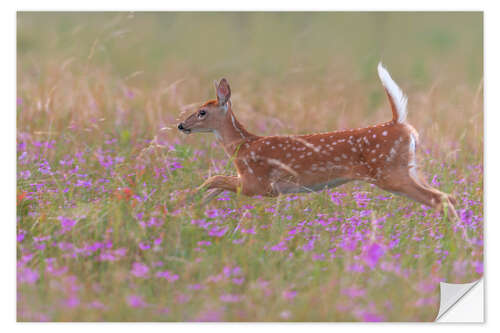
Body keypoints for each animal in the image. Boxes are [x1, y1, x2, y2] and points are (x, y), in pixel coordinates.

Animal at [178, 62, 458, 219]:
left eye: (202, 112)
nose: (181, 125)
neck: (242, 147)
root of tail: (399, 123)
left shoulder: (259, 184)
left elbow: (215, 179)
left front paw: (180, 201)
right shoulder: (253, 183)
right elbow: (216, 184)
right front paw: (193, 206)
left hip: (390, 173)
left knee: (440, 199)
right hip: (409, 169)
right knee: (448, 196)